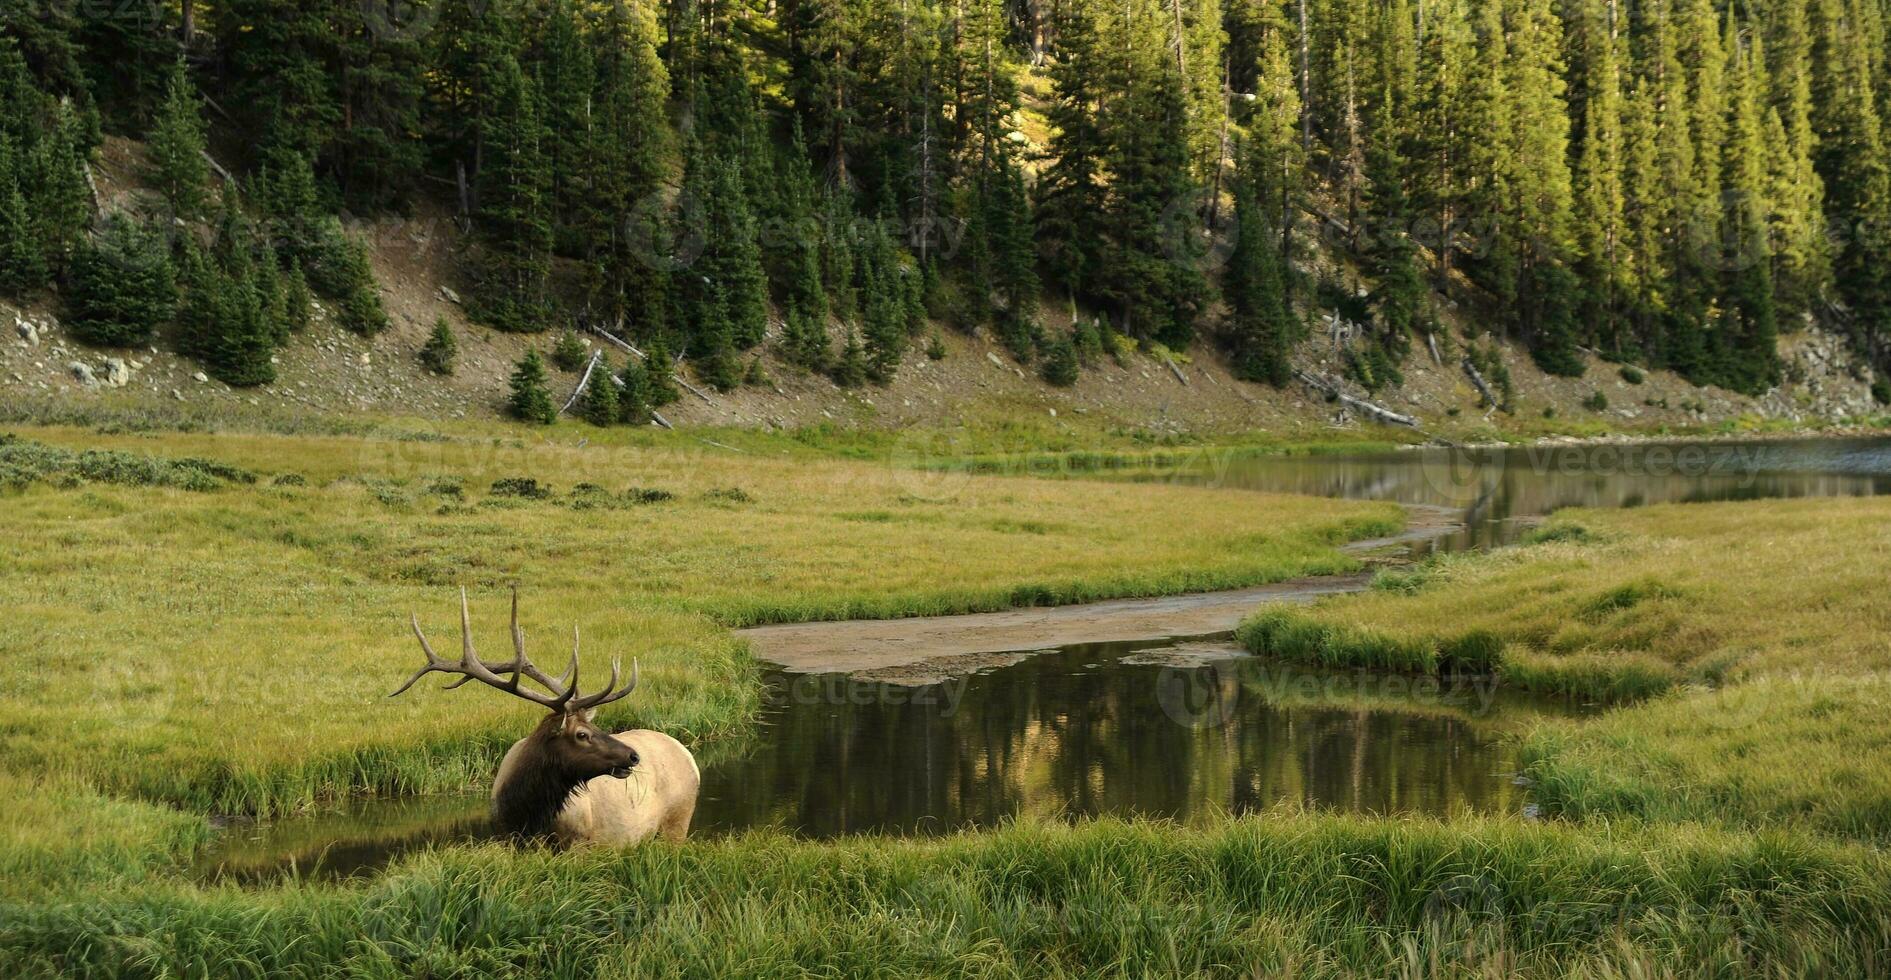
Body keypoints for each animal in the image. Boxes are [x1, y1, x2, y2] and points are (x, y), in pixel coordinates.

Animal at [391, 586, 703, 847]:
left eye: (595, 726)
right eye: (582, 734)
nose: (633, 756)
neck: (527, 816)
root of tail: (688, 755)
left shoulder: (581, 843)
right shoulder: (507, 839)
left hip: (678, 820)